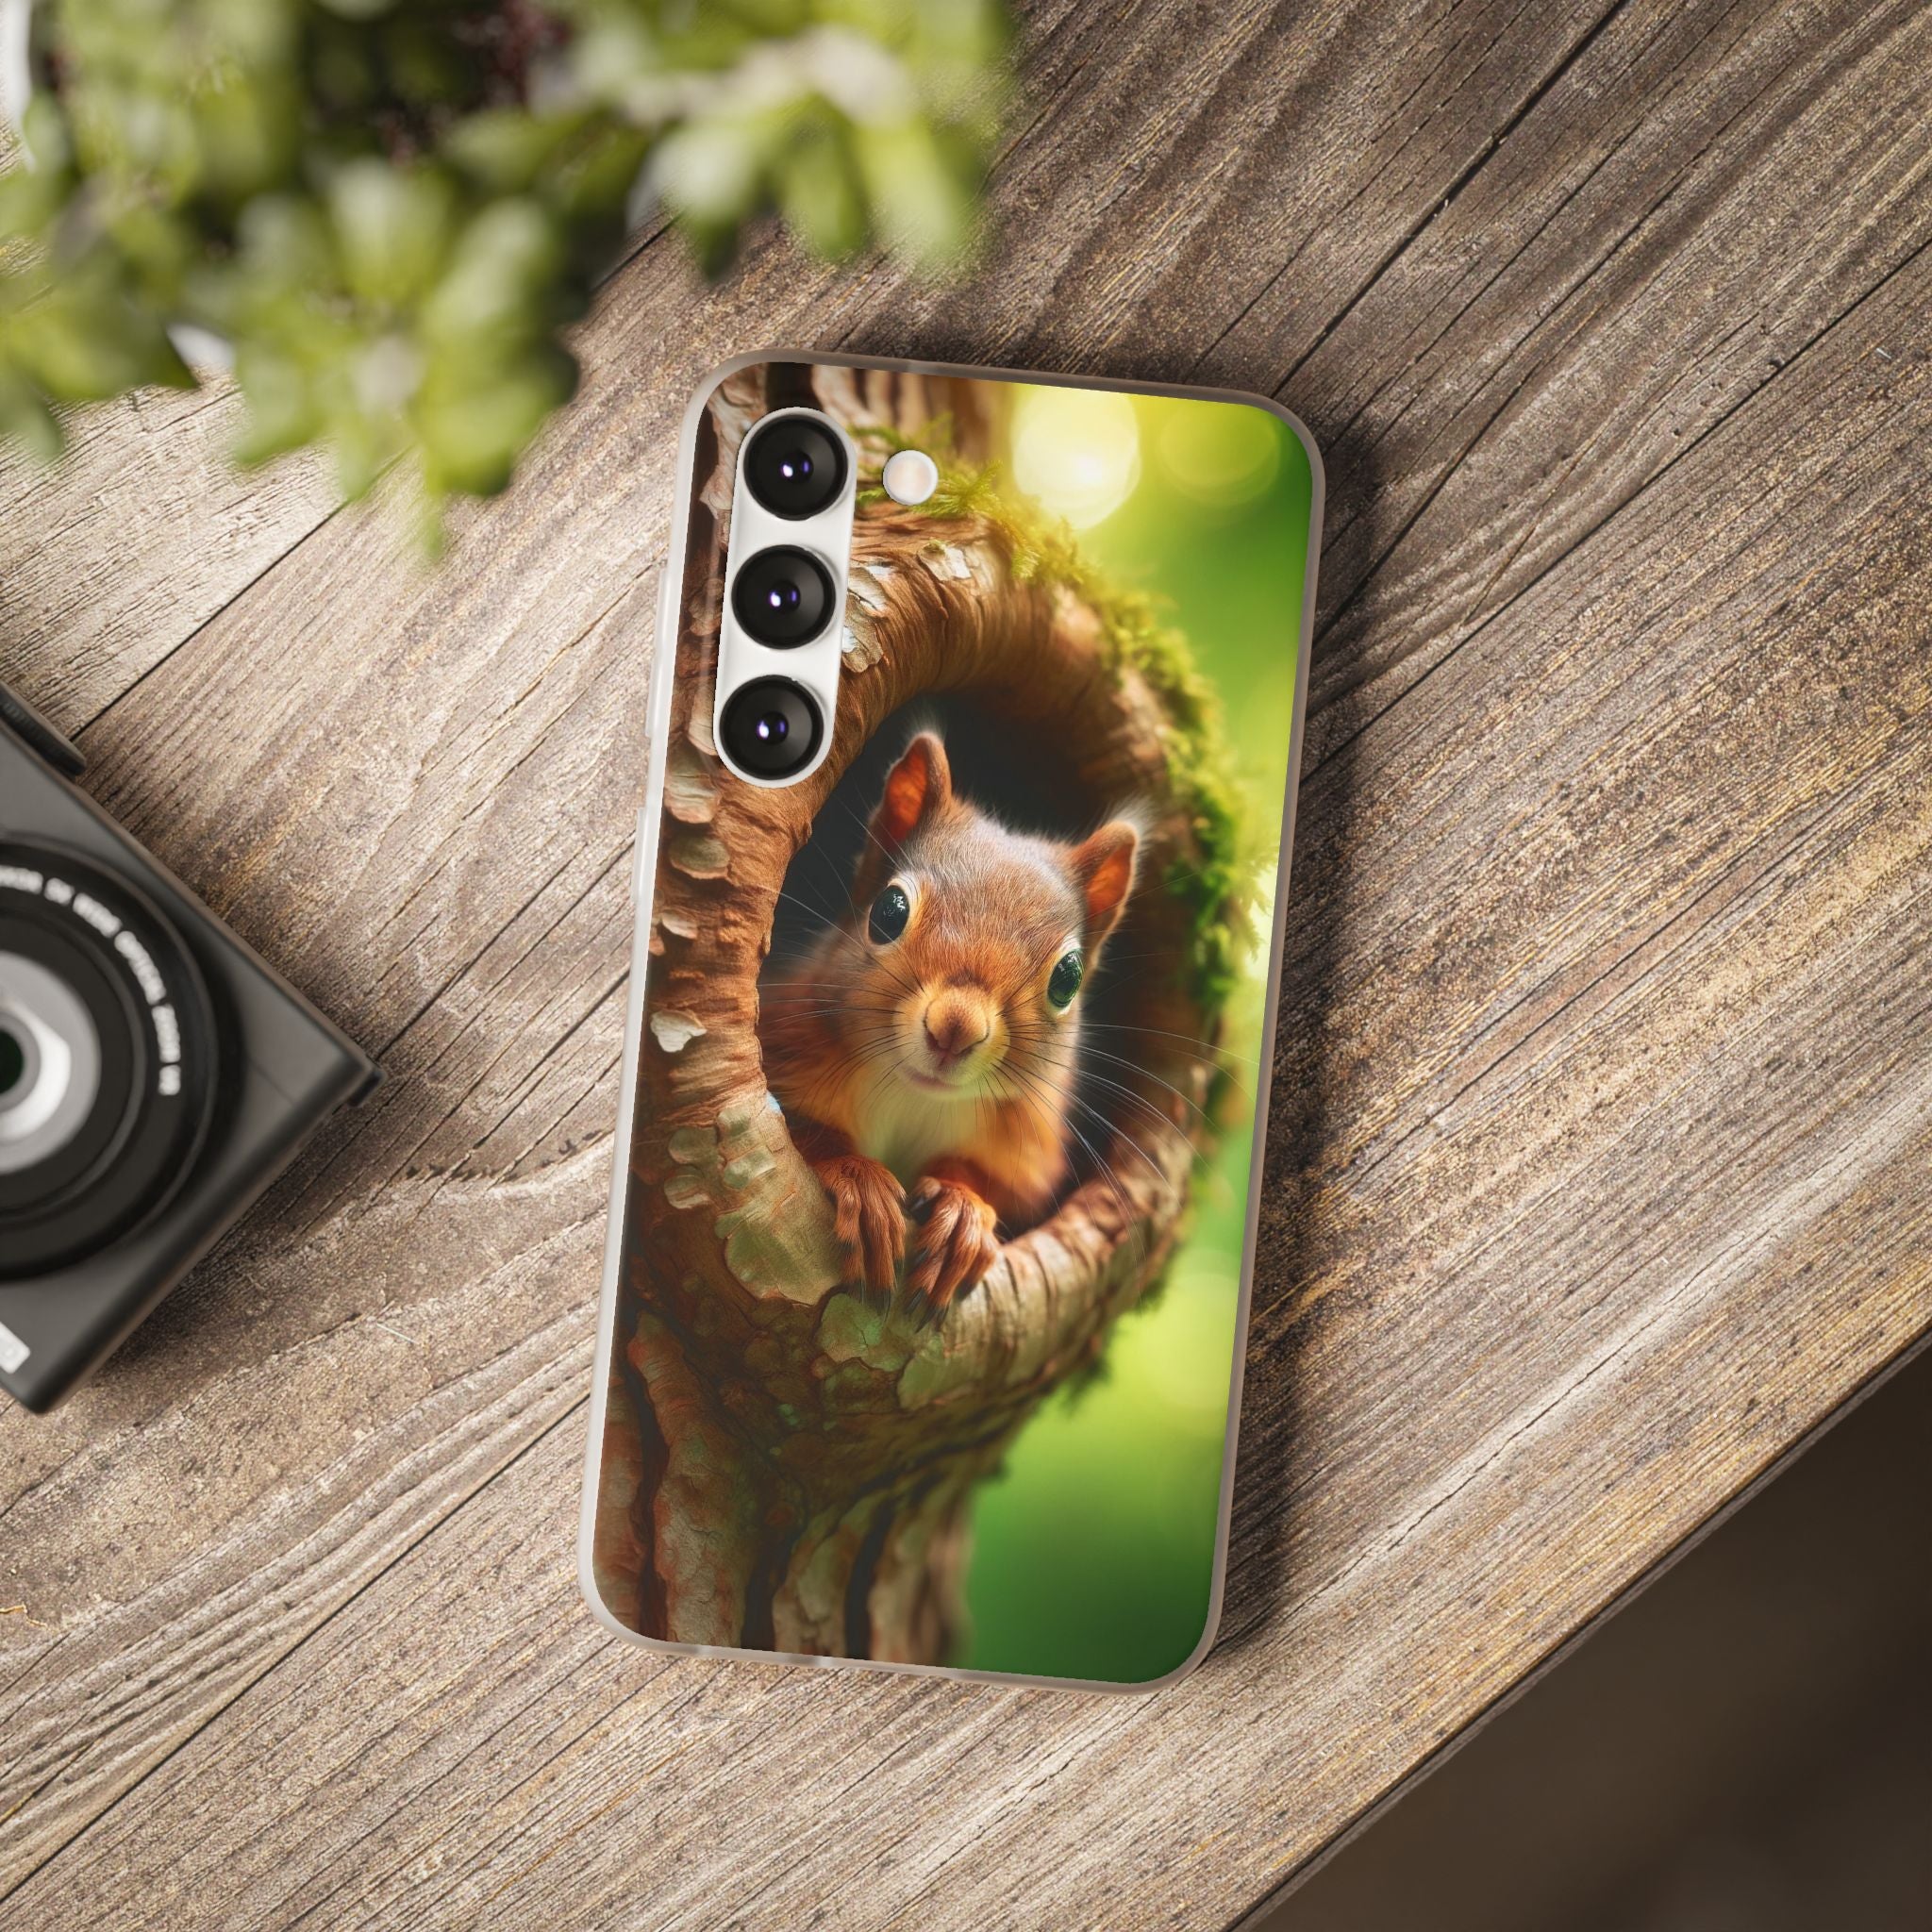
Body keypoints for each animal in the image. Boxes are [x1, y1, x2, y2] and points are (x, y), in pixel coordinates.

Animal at [760, 731, 1141, 1323]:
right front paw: (861, 1182)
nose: (956, 1028)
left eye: (1069, 977)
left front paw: (962, 1210)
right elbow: (805, 1132)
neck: (916, 1097)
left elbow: (996, 1186)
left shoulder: (1027, 1148)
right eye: (889, 912)